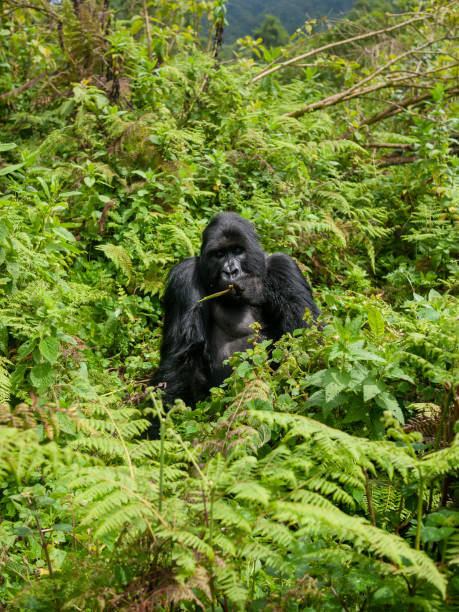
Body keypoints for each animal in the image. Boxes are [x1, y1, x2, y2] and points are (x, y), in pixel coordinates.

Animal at [155, 212, 320, 406]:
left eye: (237, 251)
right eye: (219, 254)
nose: (231, 271)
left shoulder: (284, 266)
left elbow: (308, 336)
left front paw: (257, 287)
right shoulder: (184, 276)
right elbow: (182, 356)